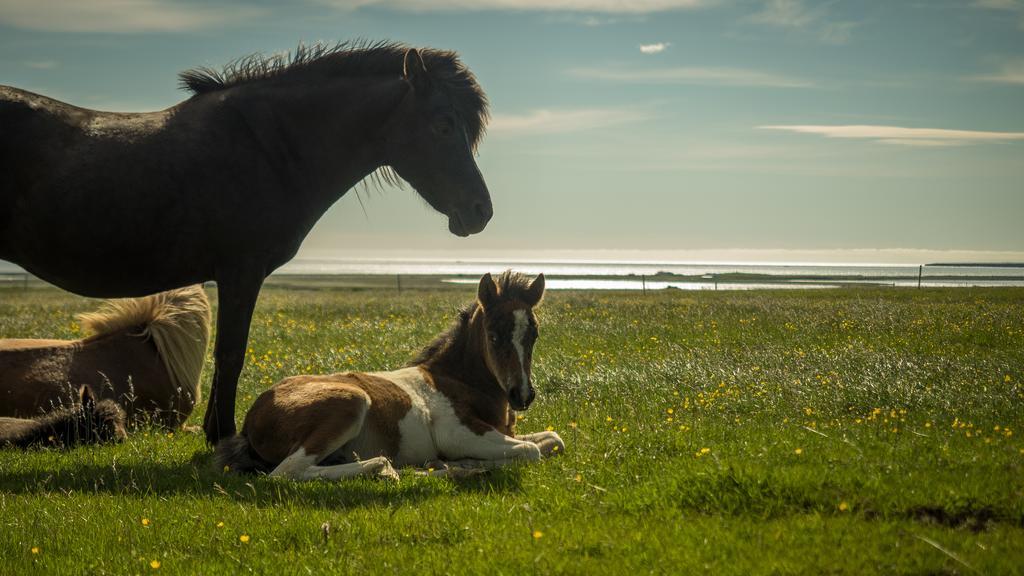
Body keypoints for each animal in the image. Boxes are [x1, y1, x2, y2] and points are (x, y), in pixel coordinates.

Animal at [216, 270, 565, 477]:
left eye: (534, 334)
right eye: (493, 335)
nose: (522, 395)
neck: (457, 382)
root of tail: (250, 420)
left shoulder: (504, 432)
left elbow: (553, 439)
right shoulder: (460, 433)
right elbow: (532, 450)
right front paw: (456, 464)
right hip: (350, 401)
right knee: (287, 473)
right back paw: (383, 467)